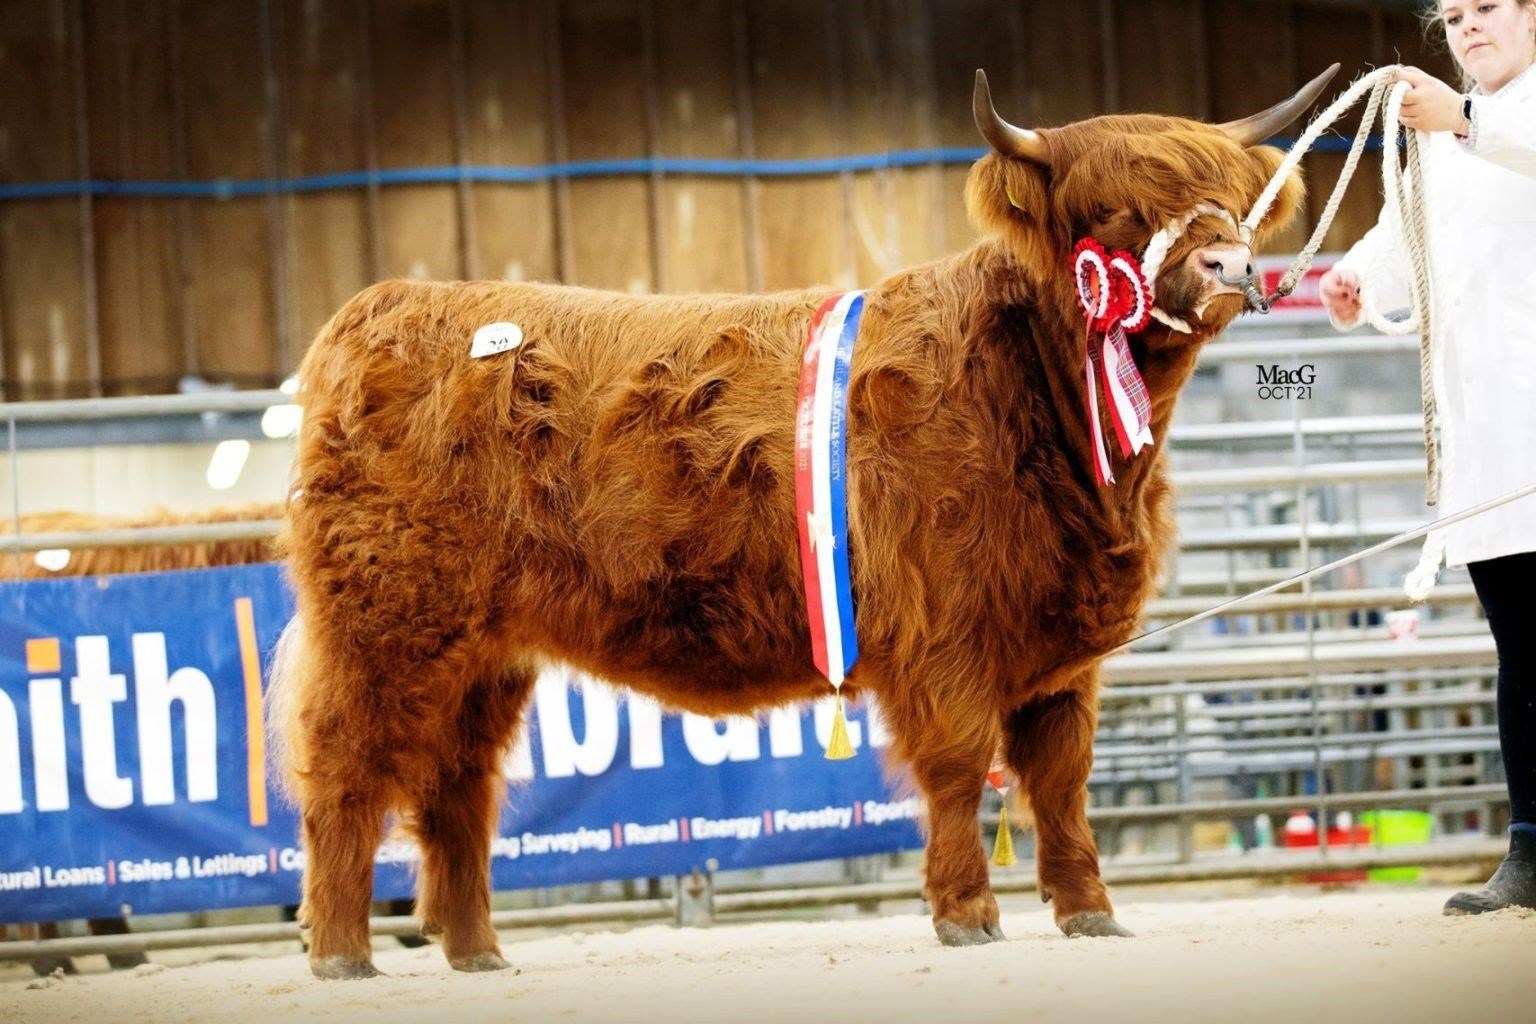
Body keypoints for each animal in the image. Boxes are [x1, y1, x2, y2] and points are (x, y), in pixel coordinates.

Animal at [276, 67, 1333, 982]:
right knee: (344, 769)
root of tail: (382, 306)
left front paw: (1090, 912)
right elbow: (959, 769)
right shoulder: (943, 633)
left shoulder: (1060, 651)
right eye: (1116, 208)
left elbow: (1063, 781)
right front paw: (967, 915)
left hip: (482, 655)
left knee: (458, 788)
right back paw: (341, 952)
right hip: (385, 625)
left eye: (1230, 198)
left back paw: (477, 952)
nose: (1232, 264)